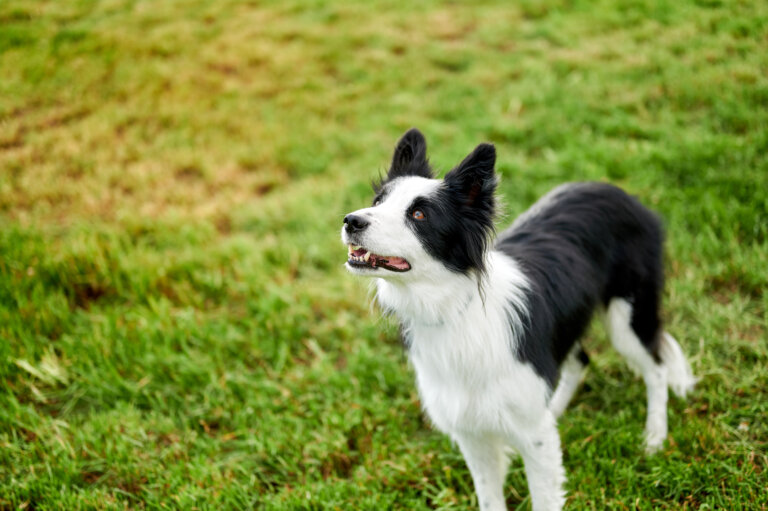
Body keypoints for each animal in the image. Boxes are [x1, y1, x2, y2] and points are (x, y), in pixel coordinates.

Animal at [340, 130, 696, 510]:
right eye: (378, 201)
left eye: (419, 214)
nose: (351, 220)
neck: (455, 310)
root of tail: (621, 193)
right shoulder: (472, 434)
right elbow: (490, 496)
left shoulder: (534, 437)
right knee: (581, 360)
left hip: (627, 317)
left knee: (656, 367)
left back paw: (655, 436)